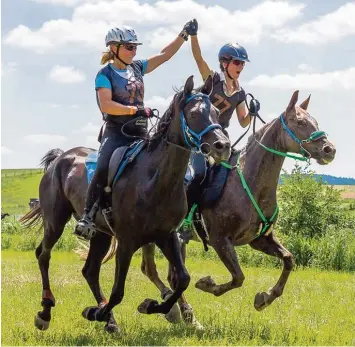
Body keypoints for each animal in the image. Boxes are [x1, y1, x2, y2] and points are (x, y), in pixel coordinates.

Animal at [20, 77, 231, 334]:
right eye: (193, 114)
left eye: (217, 112)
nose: (223, 146)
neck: (154, 179)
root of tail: (60, 158)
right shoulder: (127, 241)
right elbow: (118, 291)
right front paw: (96, 312)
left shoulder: (167, 236)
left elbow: (183, 279)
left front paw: (152, 307)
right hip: (56, 221)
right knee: (44, 255)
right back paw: (46, 312)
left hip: (101, 233)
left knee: (89, 270)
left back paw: (109, 320)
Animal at [138, 89, 336, 326]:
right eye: (300, 122)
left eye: (315, 121)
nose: (329, 150)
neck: (250, 183)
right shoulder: (220, 240)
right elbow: (238, 277)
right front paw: (207, 284)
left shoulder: (259, 239)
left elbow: (288, 260)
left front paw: (265, 297)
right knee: (159, 272)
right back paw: (178, 311)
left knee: (162, 273)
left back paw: (182, 313)